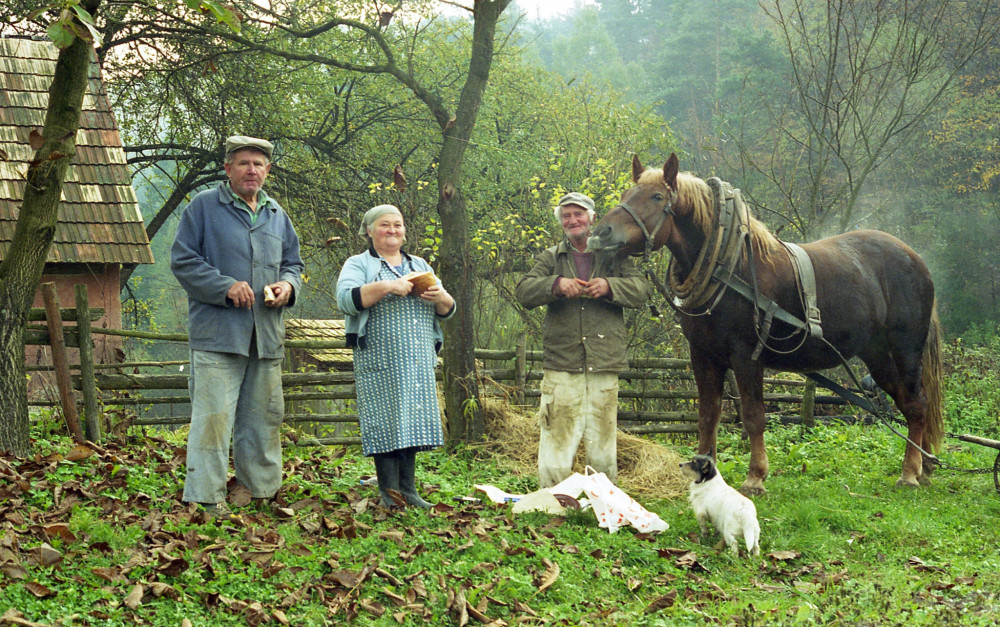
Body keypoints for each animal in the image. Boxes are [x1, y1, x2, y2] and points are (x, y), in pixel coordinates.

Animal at [588, 153, 940, 496]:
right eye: (626, 194)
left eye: (657, 196)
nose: (601, 233)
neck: (731, 266)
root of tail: (917, 260)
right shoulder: (703, 355)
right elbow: (708, 415)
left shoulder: (747, 356)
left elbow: (754, 416)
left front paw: (755, 477)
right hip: (878, 357)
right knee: (910, 404)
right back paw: (923, 467)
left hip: (905, 351)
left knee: (916, 405)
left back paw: (910, 474)